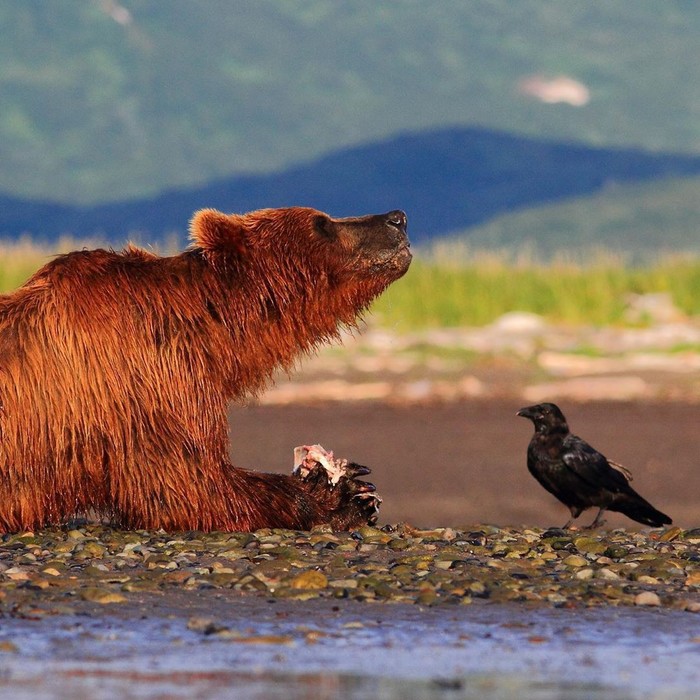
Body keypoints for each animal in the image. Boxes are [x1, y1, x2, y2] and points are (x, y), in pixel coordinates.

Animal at [0, 206, 410, 532]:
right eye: (321, 223)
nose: (397, 218)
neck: (209, 326)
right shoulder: (145, 383)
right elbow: (191, 485)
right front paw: (340, 495)